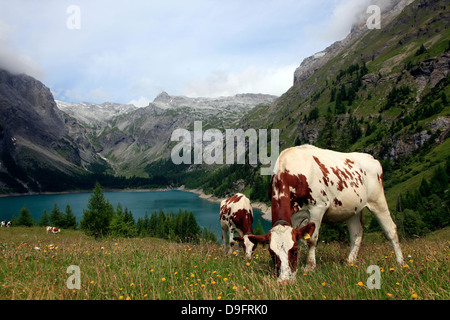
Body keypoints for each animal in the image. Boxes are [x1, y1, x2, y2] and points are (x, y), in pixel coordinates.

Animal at [246, 145, 404, 282]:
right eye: (272, 253)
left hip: (378, 201)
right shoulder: (295, 216)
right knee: (356, 234)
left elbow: (311, 239)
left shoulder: (318, 207)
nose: (285, 280)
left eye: (294, 250)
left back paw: (400, 262)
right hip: (353, 209)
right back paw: (350, 262)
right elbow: (301, 237)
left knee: (391, 229)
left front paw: (309, 267)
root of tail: (370, 157)